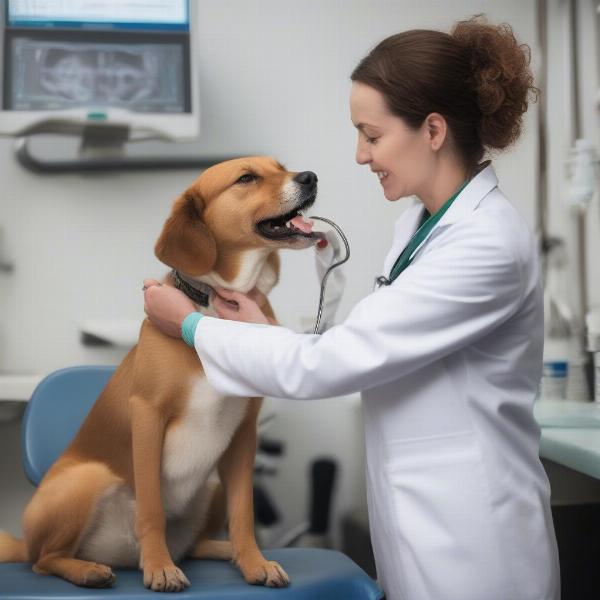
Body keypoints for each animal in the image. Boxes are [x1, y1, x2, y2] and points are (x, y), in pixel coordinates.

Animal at [0, 156, 324, 592]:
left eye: (281, 167)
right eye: (246, 178)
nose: (309, 177)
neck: (213, 310)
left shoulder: (244, 433)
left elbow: (243, 513)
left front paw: (254, 562)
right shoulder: (147, 417)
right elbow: (151, 507)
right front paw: (159, 567)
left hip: (213, 480)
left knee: (197, 544)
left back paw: (224, 551)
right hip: (87, 478)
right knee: (44, 560)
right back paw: (89, 570)